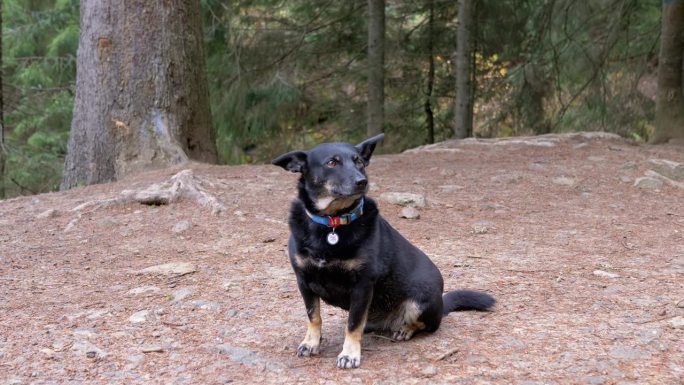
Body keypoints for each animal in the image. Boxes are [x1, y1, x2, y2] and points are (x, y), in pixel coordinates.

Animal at [270, 134, 494, 368]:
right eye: (332, 162)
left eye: (359, 161)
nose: (362, 181)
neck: (332, 223)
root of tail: (442, 302)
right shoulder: (303, 280)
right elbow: (314, 316)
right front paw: (311, 343)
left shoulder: (362, 285)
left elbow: (352, 324)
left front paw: (349, 354)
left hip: (420, 301)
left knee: (424, 325)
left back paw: (405, 329)